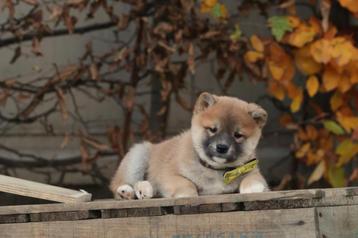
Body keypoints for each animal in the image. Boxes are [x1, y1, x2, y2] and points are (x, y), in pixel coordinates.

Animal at [110, 92, 268, 199]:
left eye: (237, 135)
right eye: (213, 129)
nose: (222, 147)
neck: (216, 170)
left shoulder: (253, 170)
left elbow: (252, 178)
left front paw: (254, 187)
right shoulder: (170, 174)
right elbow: (186, 184)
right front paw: (187, 194)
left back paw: (144, 189)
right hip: (138, 156)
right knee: (122, 183)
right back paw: (127, 191)